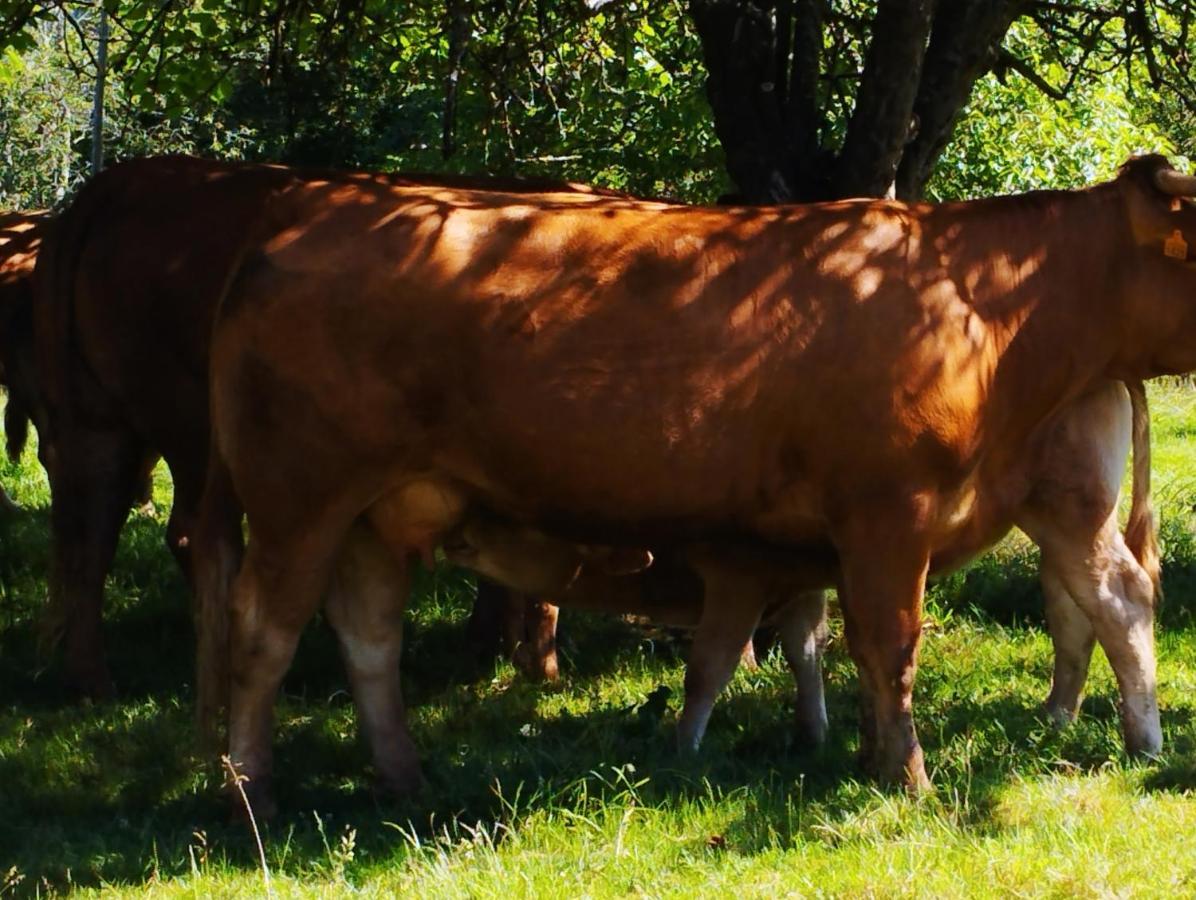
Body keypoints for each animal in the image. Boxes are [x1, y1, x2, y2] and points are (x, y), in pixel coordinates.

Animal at [29, 156, 626, 693]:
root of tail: (123, 180)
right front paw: (539, 666)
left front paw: (492, 646)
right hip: (191, 427)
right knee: (174, 534)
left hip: (101, 419)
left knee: (89, 533)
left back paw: (89, 677)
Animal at [196, 154, 1186, 807]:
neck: (978, 300)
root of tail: (295, 218)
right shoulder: (886, 512)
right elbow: (886, 645)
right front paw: (903, 779)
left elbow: (847, 649)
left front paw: (862, 759)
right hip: (298, 496)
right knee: (263, 629)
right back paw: (251, 793)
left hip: (371, 510)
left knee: (367, 637)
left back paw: (404, 779)